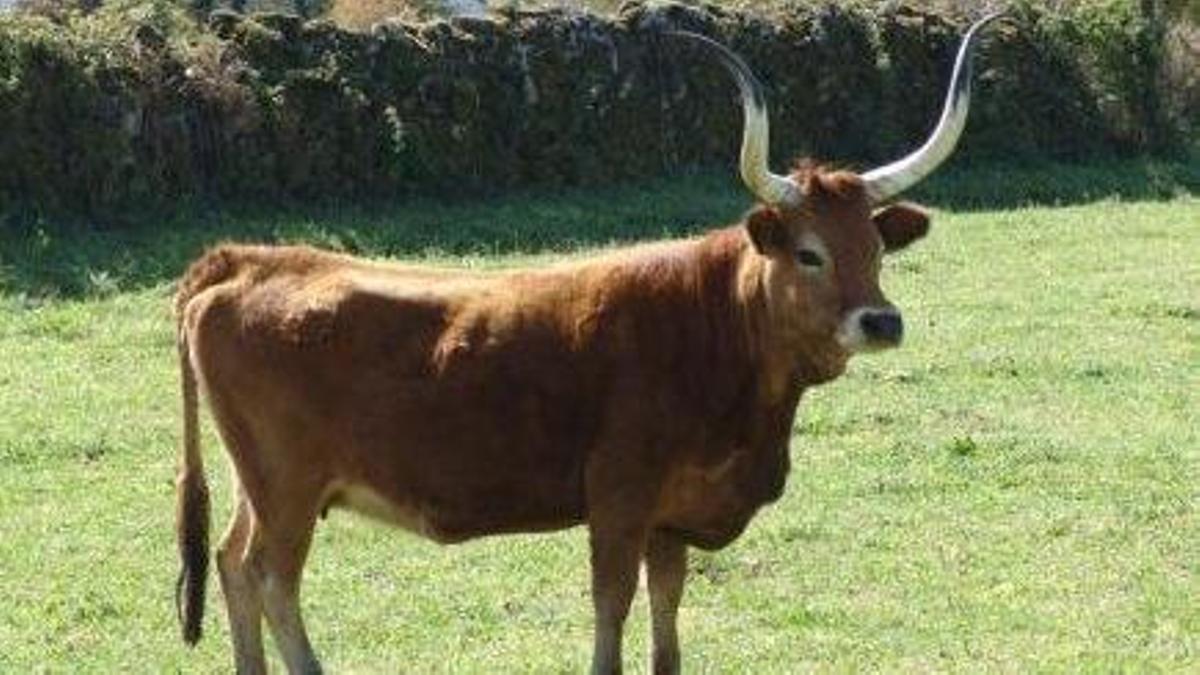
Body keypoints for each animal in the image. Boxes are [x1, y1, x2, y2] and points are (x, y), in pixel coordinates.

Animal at [173, 15, 1000, 675]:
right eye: (808, 253)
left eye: (876, 246)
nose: (881, 321)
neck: (713, 333)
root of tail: (248, 259)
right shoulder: (619, 499)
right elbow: (613, 607)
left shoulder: (671, 516)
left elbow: (666, 615)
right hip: (287, 485)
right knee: (270, 578)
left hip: (261, 484)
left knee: (232, 565)